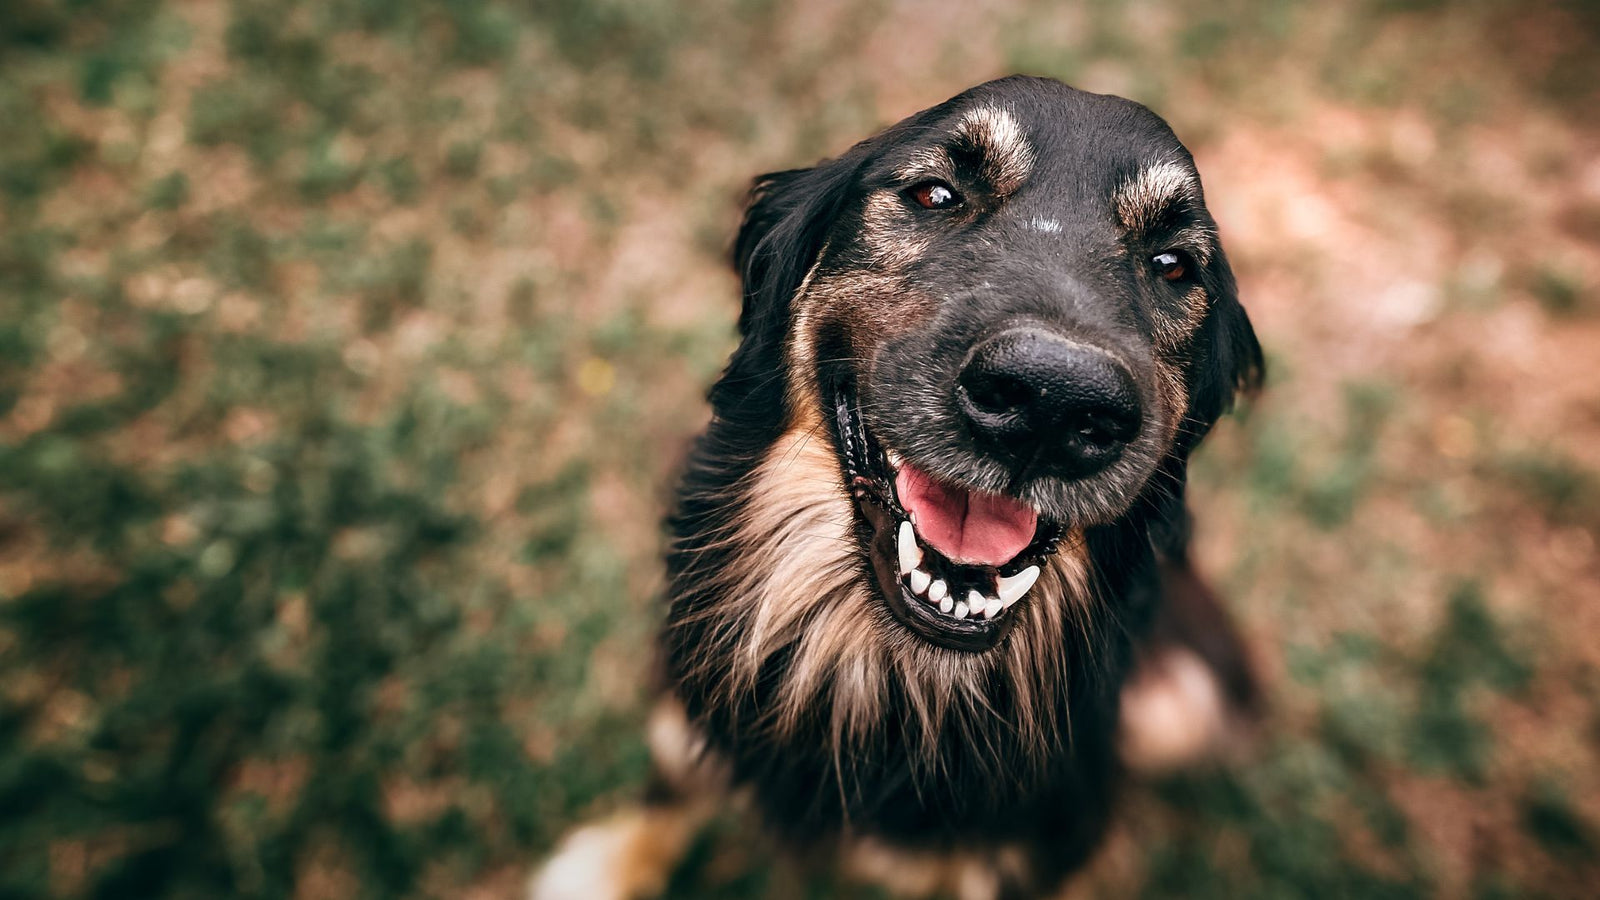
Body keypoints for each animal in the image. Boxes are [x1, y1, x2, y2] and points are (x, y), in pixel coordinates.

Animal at [537, 75, 1260, 896]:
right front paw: (611, 864)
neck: (886, 672)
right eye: (935, 194)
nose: (1050, 404)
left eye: (1172, 265)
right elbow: (674, 770)